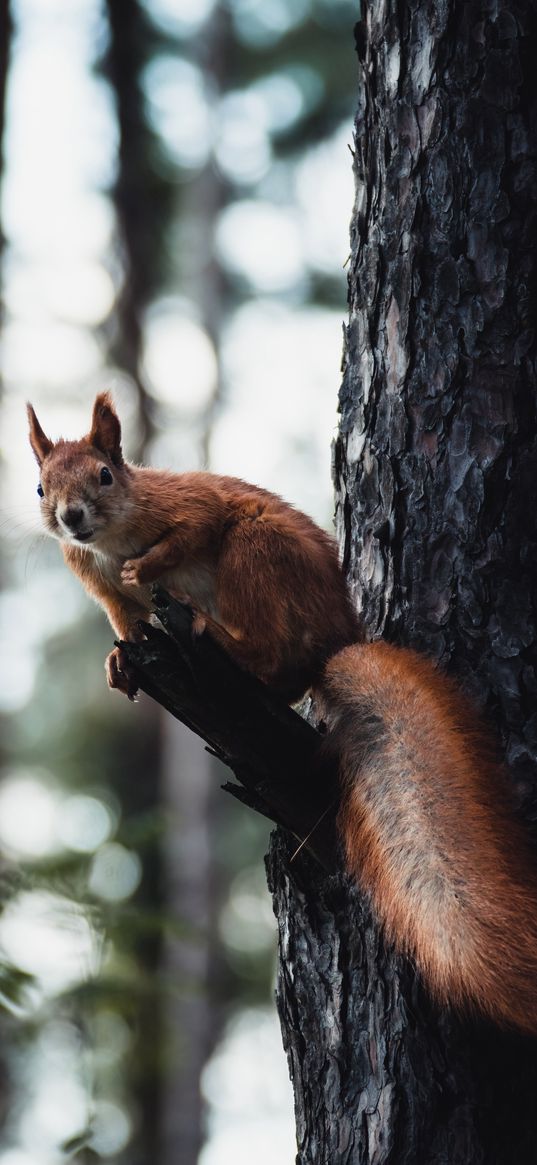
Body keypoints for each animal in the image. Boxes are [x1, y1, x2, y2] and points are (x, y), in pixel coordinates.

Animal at [27, 396, 535, 1034]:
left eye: (104, 475)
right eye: (39, 486)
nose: (71, 517)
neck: (110, 539)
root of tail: (337, 642)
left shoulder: (185, 502)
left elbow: (193, 527)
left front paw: (147, 566)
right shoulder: (102, 590)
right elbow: (126, 623)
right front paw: (120, 661)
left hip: (257, 548)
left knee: (274, 659)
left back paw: (222, 638)